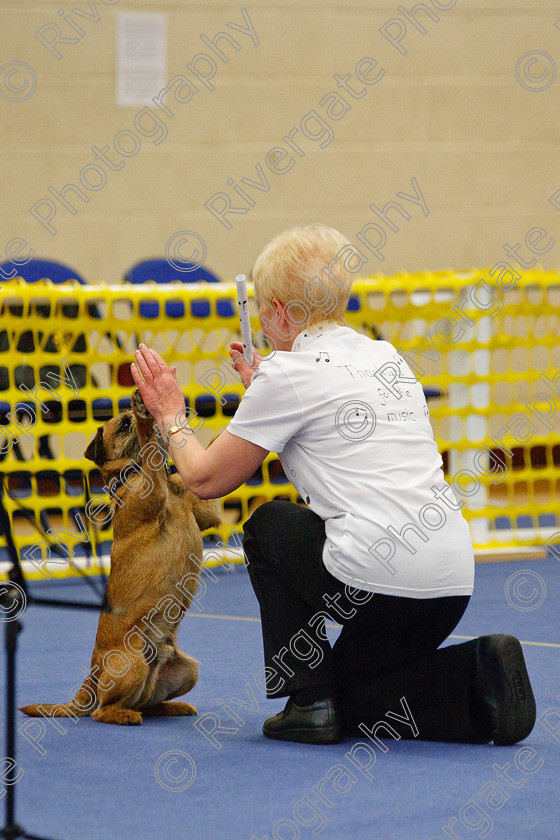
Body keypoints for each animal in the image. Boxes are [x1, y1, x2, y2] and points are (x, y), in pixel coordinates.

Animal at [21, 390, 223, 724]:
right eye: (123, 425)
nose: (152, 415)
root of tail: (92, 674)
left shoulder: (208, 510)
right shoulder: (153, 489)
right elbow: (150, 445)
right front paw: (145, 416)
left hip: (187, 671)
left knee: (145, 703)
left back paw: (171, 707)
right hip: (133, 664)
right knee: (102, 711)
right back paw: (125, 715)